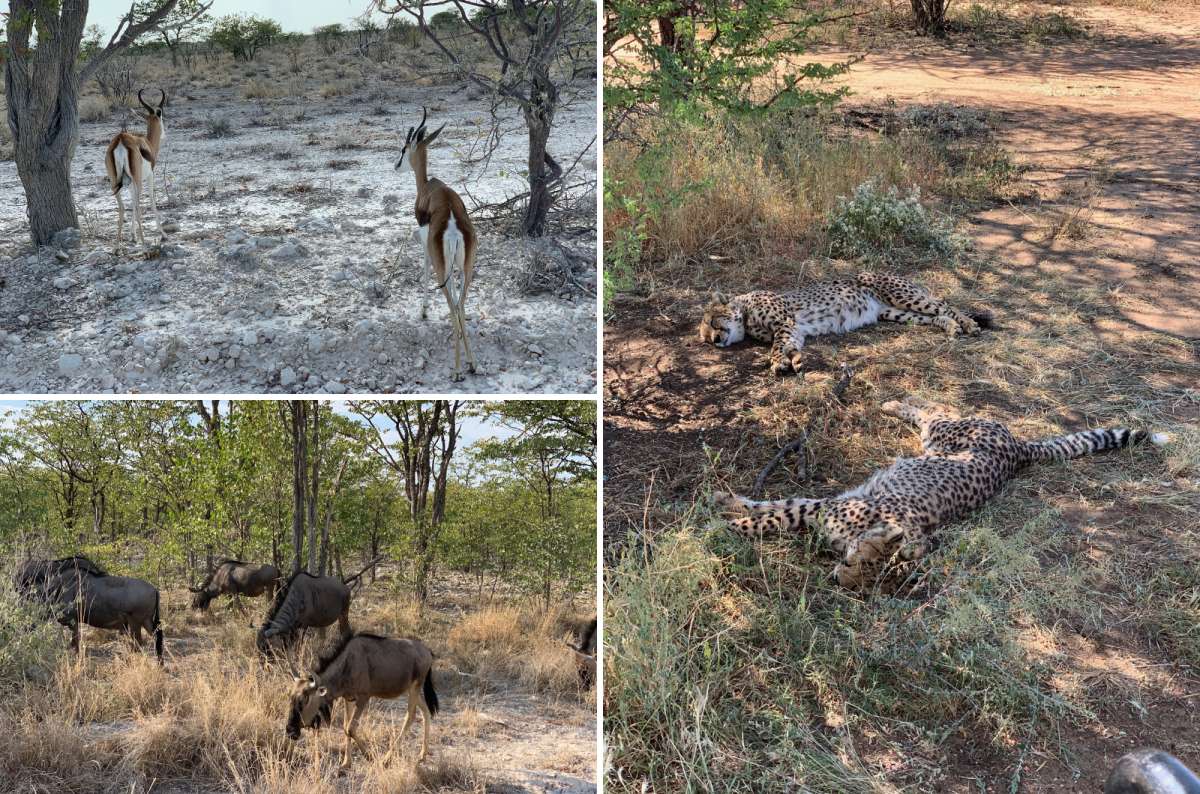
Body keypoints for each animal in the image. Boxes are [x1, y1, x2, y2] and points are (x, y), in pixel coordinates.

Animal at [105, 88, 167, 252]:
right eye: (161, 116)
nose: (164, 133)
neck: (148, 144)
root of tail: (120, 139)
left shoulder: (130, 183)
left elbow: (131, 201)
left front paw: (133, 235)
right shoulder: (149, 176)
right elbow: (151, 200)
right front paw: (163, 234)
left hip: (114, 181)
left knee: (122, 206)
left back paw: (116, 247)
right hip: (137, 180)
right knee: (138, 206)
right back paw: (144, 244)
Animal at [395, 107, 477, 381]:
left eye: (404, 148)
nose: (396, 165)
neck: (428, 186)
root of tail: (452, 225)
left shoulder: (424, 240)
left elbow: (424, 268)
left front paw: (423, 310)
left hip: (444, 263)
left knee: (452, 305)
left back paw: (457, 370)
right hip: (466, 268)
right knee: (460, 303)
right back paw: (472, 363)